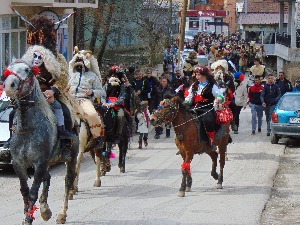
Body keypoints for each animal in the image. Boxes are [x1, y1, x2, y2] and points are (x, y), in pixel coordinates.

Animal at [3, 59, 78, 225]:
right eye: (9, 69)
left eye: (27, 70)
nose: (8, 85)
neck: (28, 129)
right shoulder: (19, 163)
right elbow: (25, 192)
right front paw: (28, 216)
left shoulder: (40, 162)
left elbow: (32, 193)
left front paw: (28, 219)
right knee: (47, 177)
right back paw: (45, 210)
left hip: (71, 157)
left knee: (68, 181)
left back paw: (61, 214)